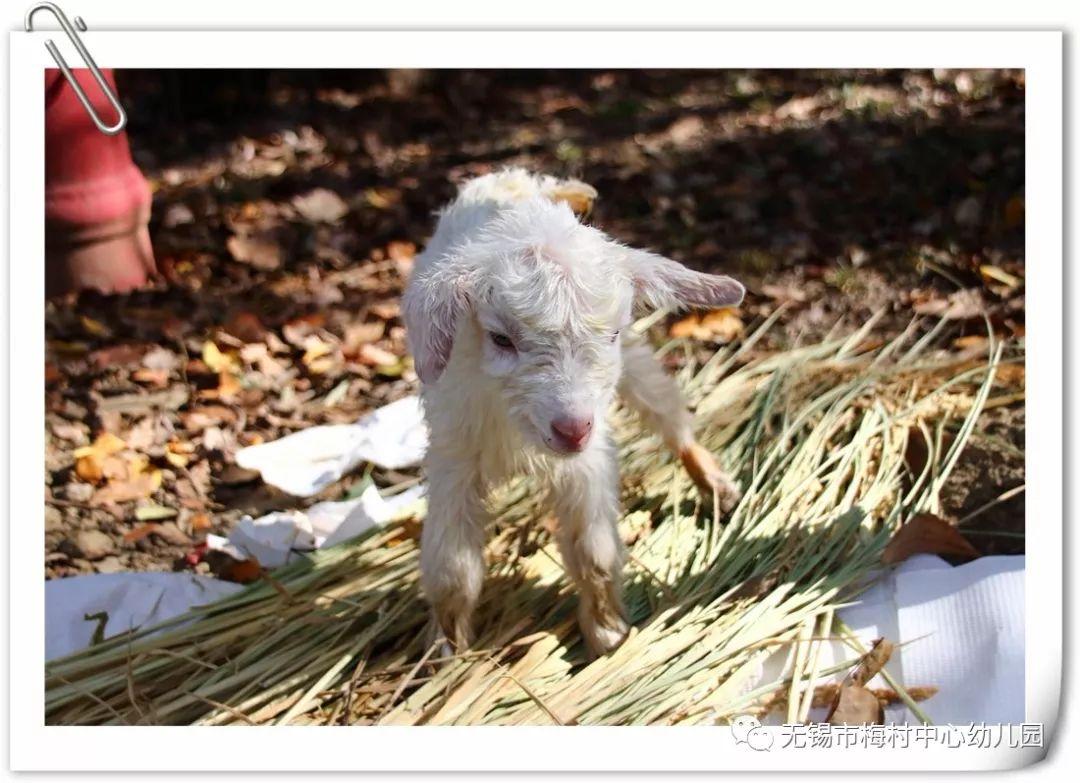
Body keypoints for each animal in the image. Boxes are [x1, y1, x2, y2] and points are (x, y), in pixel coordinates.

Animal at [401, 169, 747, 652]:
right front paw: (446, 649)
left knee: (664, 408)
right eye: (500, 338)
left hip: (631, 365)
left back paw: (714, 482)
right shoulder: (454, 455)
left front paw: (607, 631)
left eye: (612, 332)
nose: (573, 428)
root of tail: (512, 181)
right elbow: (452, 570)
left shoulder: (587, 460)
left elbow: (593, 550)